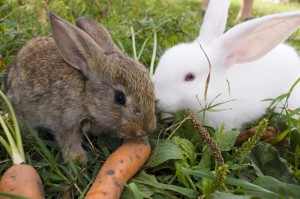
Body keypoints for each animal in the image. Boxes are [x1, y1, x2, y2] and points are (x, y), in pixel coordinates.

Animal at [5, 12, 157, 163]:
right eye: (120, 97)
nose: (146, 129)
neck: (86, 95)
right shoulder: (66, 120)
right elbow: (69, 140)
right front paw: (78, 159)